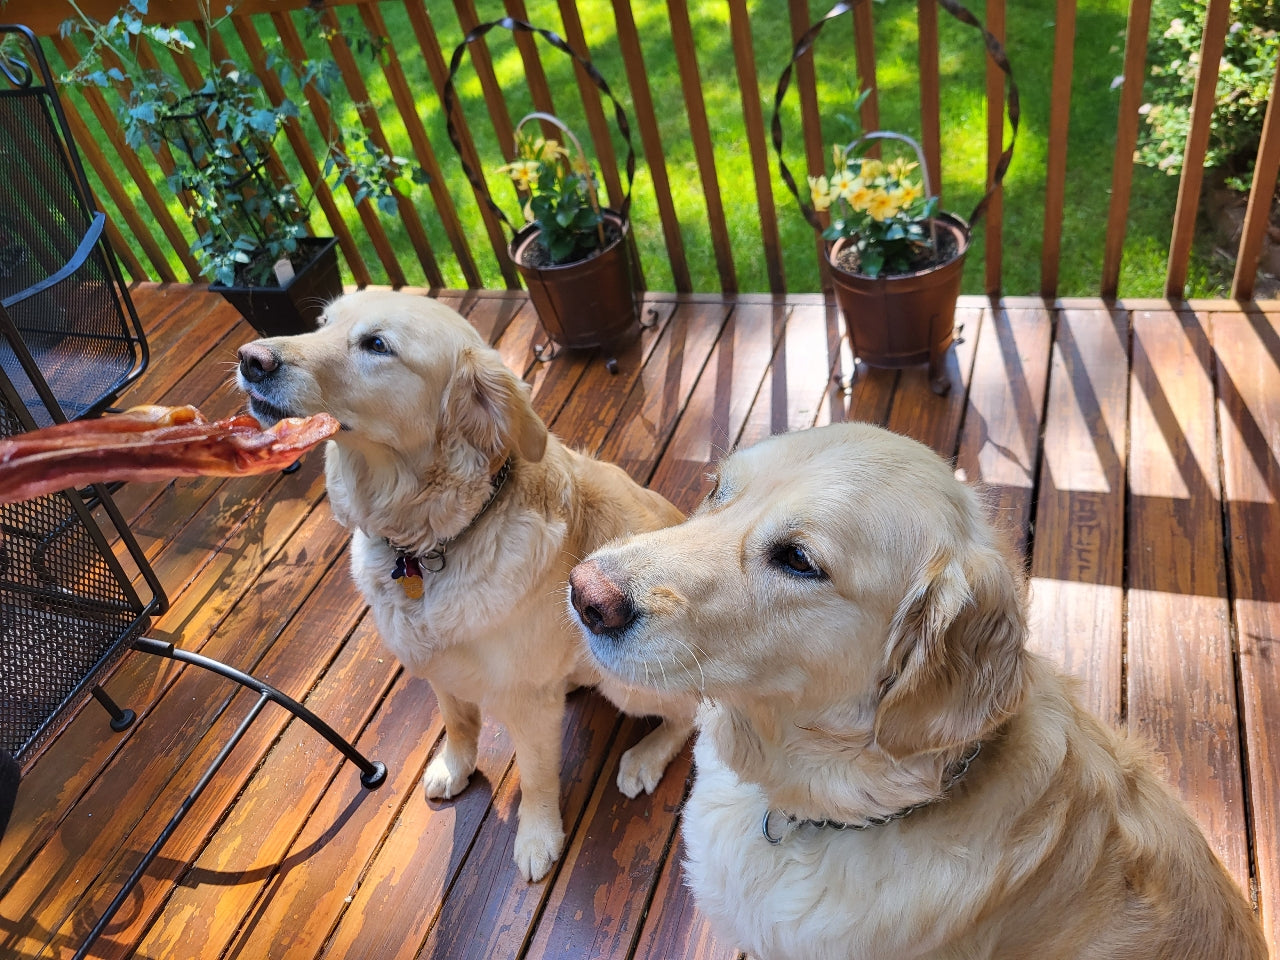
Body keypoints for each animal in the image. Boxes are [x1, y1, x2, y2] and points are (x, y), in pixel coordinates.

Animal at [240, 289, 701, 885]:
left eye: (377, 345)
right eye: (321, 324)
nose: (251, 360)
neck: (426, 545)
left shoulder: (528, 704)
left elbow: (536, 775)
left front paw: (537, 837)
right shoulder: (440, 667)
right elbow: (458, 724)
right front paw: (454, 768)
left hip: (629, 684)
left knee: (689, 717)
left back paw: (646, 757)